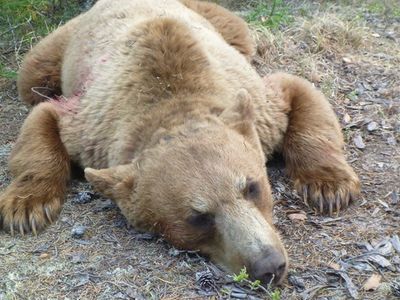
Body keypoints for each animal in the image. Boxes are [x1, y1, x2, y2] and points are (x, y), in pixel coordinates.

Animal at [0, 0, 360, 286]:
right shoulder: (93, 125)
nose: (269, 265)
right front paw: (25, 208)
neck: (175, 100)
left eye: (251, 186)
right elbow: (46, 117)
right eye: (199, 216)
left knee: (244, 35)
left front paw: (329, 188)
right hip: (66, 40)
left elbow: (294, 90)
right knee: (32, 76)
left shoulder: (256, 104)